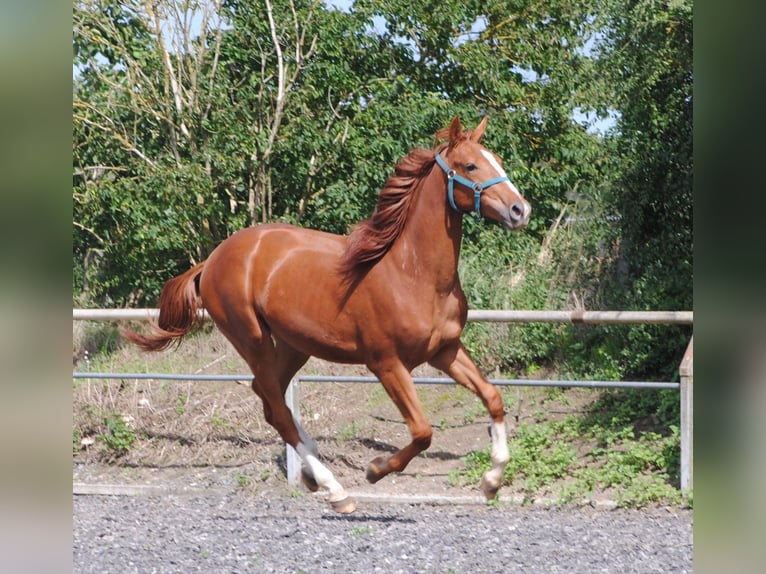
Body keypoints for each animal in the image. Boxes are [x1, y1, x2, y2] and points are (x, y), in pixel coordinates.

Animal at [124, 116, 531, 513]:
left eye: (497, 160)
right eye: (470, 165)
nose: (520, 210)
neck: (413, 274)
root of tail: (212, 259)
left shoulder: (445, 351)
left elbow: (493, 397)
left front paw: (492, 481)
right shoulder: (386, 363)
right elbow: (422, 431)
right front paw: (375, 470)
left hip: (294, 345)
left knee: (270, 400)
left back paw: (312, 471)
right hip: (252, 339)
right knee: (277, 408)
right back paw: (336, 490)